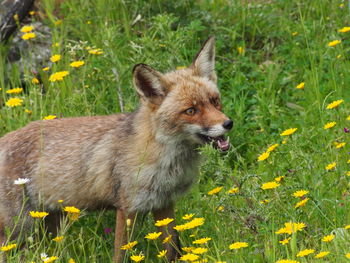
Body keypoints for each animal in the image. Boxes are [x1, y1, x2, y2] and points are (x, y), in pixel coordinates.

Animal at [0, 36, 232, 262]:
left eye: (215, 101)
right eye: (191, 111)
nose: (228, 123)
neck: (164, 157)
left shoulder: (164, 203)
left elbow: (172, 249)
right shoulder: (127, 207)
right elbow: (121, 253)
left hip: (48, 223)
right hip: (18, 227)